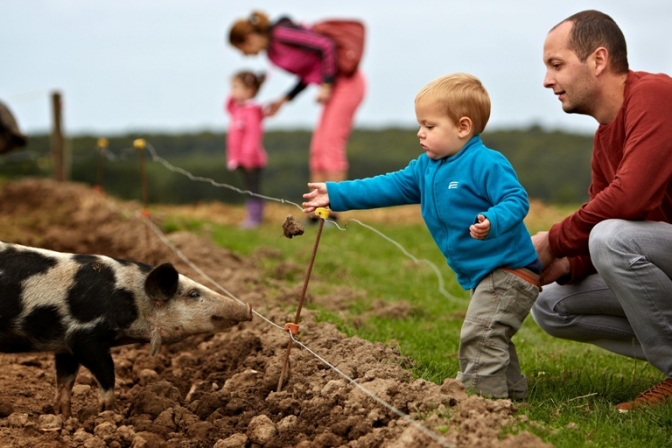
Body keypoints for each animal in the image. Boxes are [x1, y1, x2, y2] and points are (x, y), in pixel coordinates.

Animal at [0, 242, 251, 420]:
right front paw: (109, 414)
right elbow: (106, 373)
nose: (248, 308)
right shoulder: (83, 335)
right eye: (193, 294)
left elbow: (65, 380)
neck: (132, 299)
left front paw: (65, 417)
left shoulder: (63, 345)